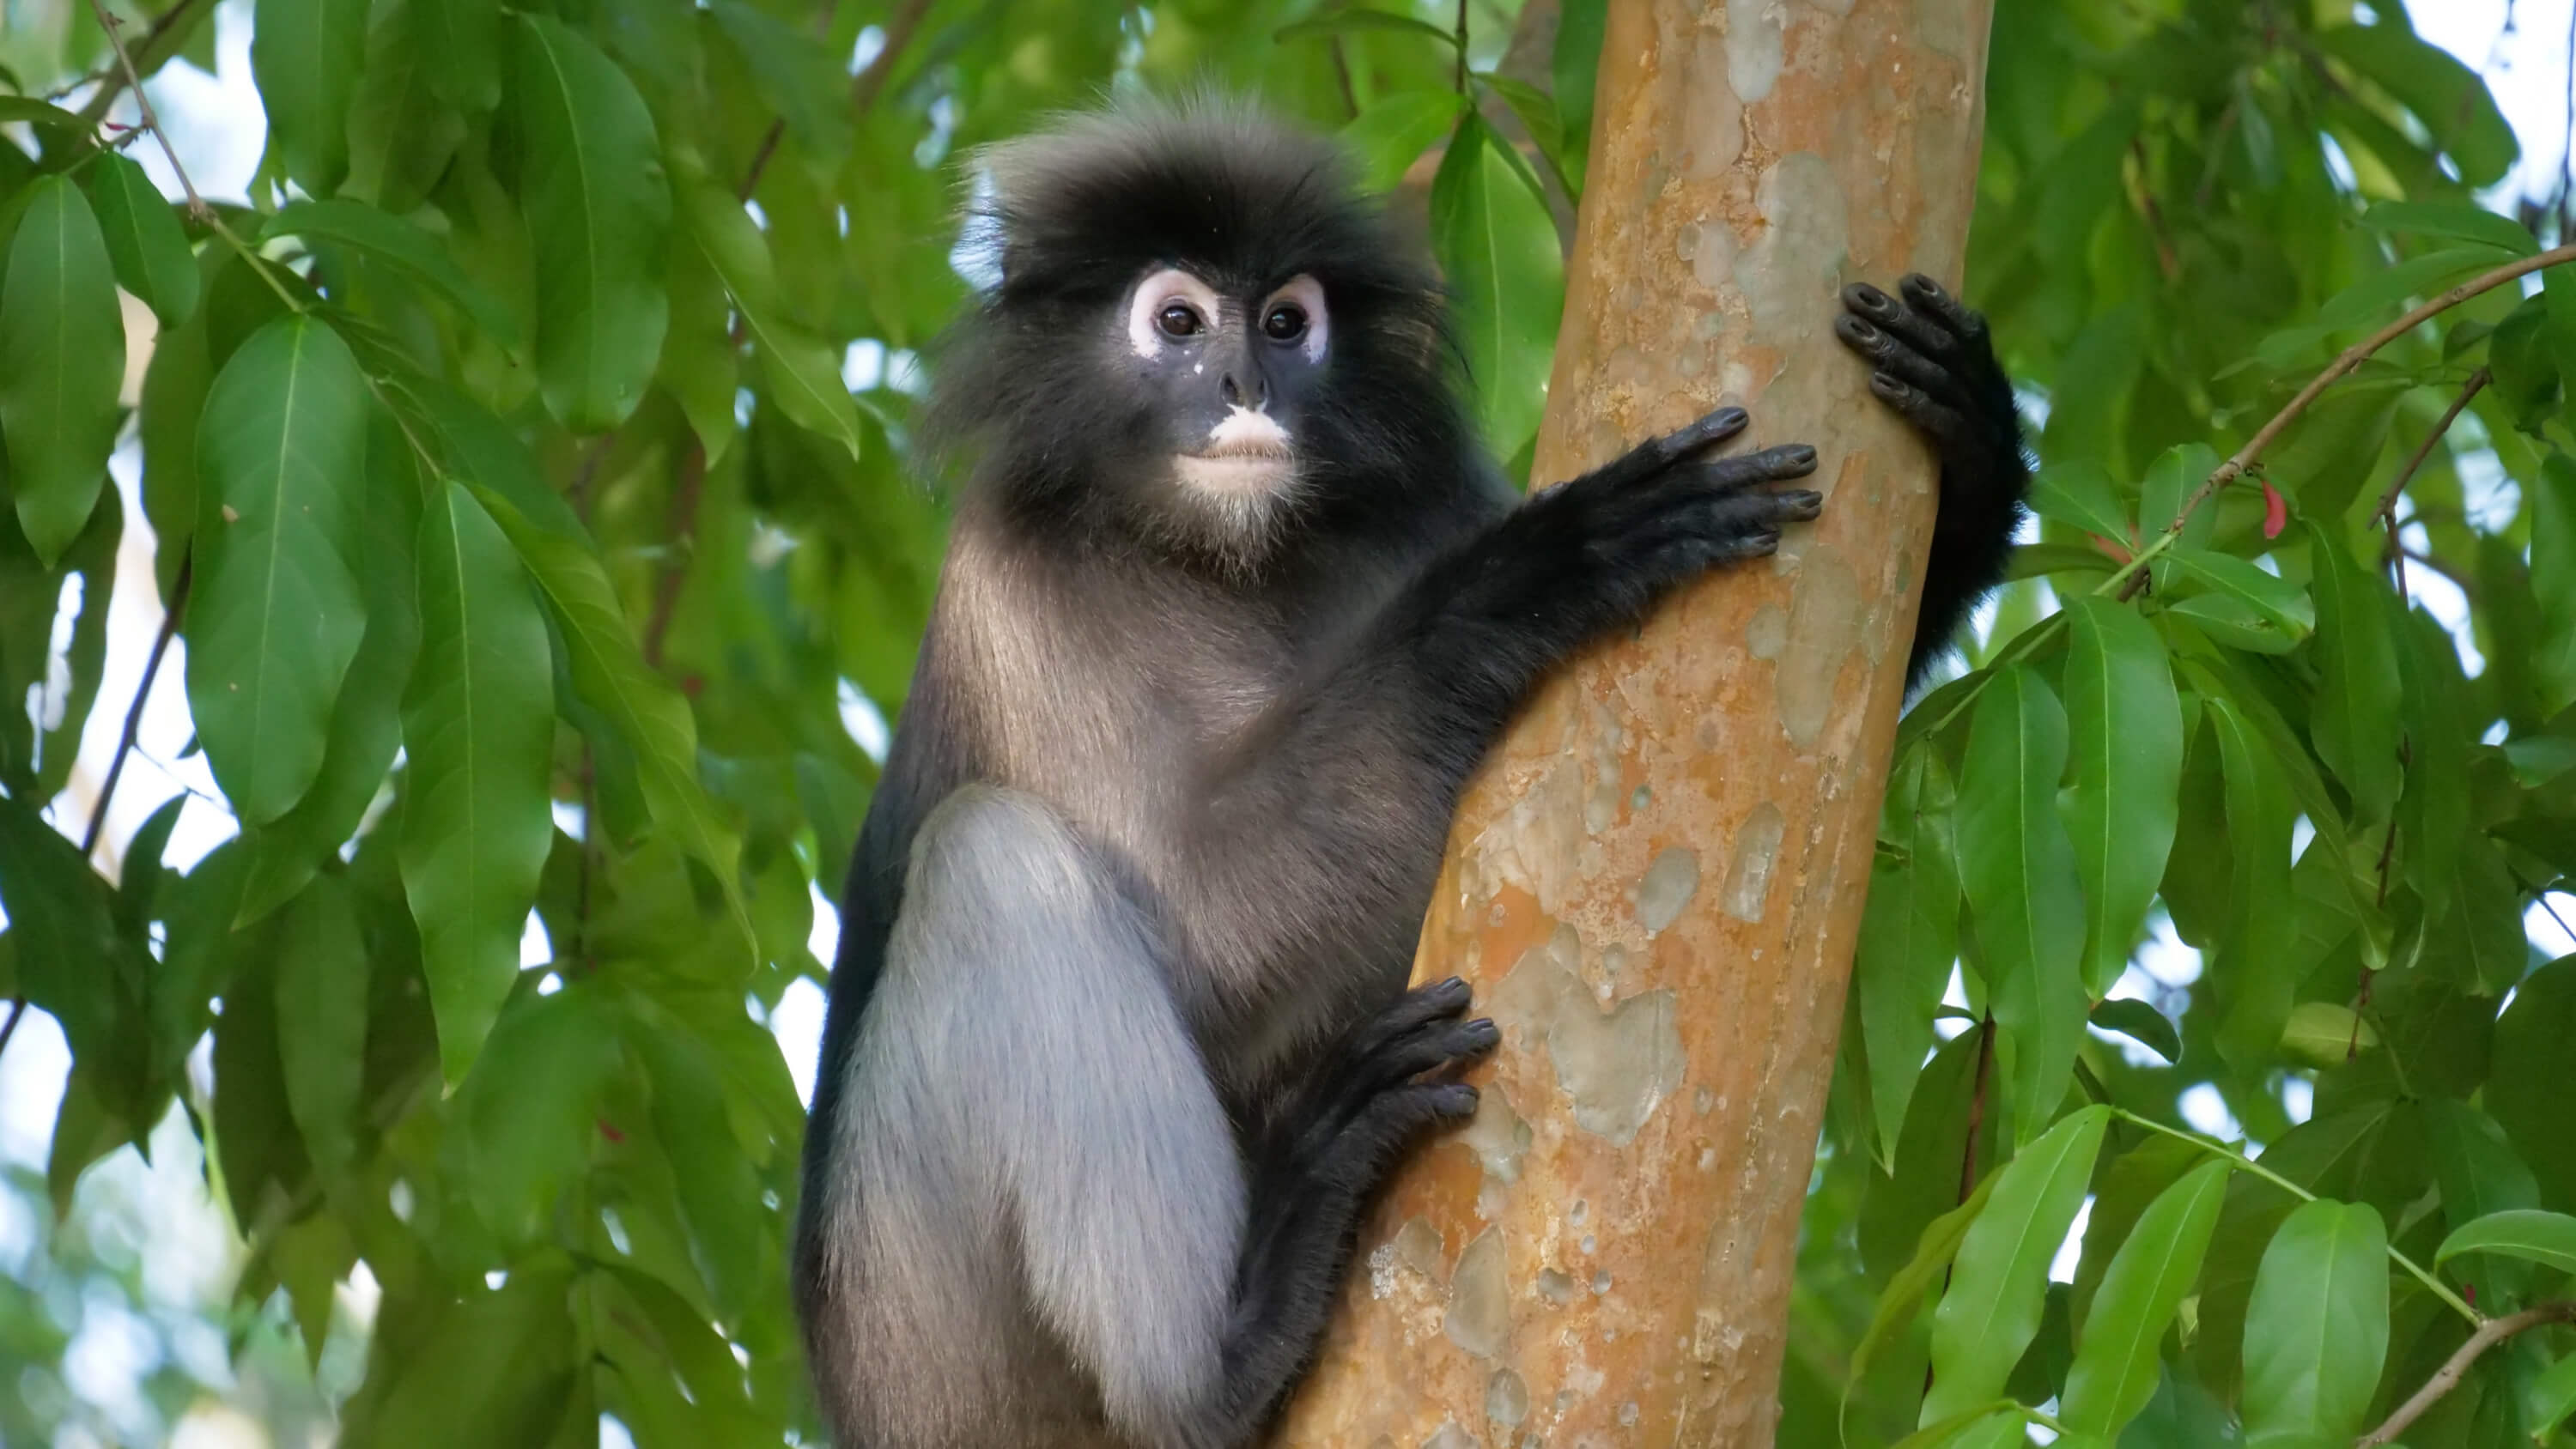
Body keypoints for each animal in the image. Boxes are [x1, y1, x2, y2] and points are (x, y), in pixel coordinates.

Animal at [788, 105, 2030, 1449]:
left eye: (1287, 323)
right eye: (1178, 323)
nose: (1245, 387)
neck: (1232, 557)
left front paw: (1972, 442)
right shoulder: (1023, 583)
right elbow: (1207, 932)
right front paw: (1528, 576)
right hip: (947, 1359)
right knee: (992, 854)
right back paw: (1226, 1350)